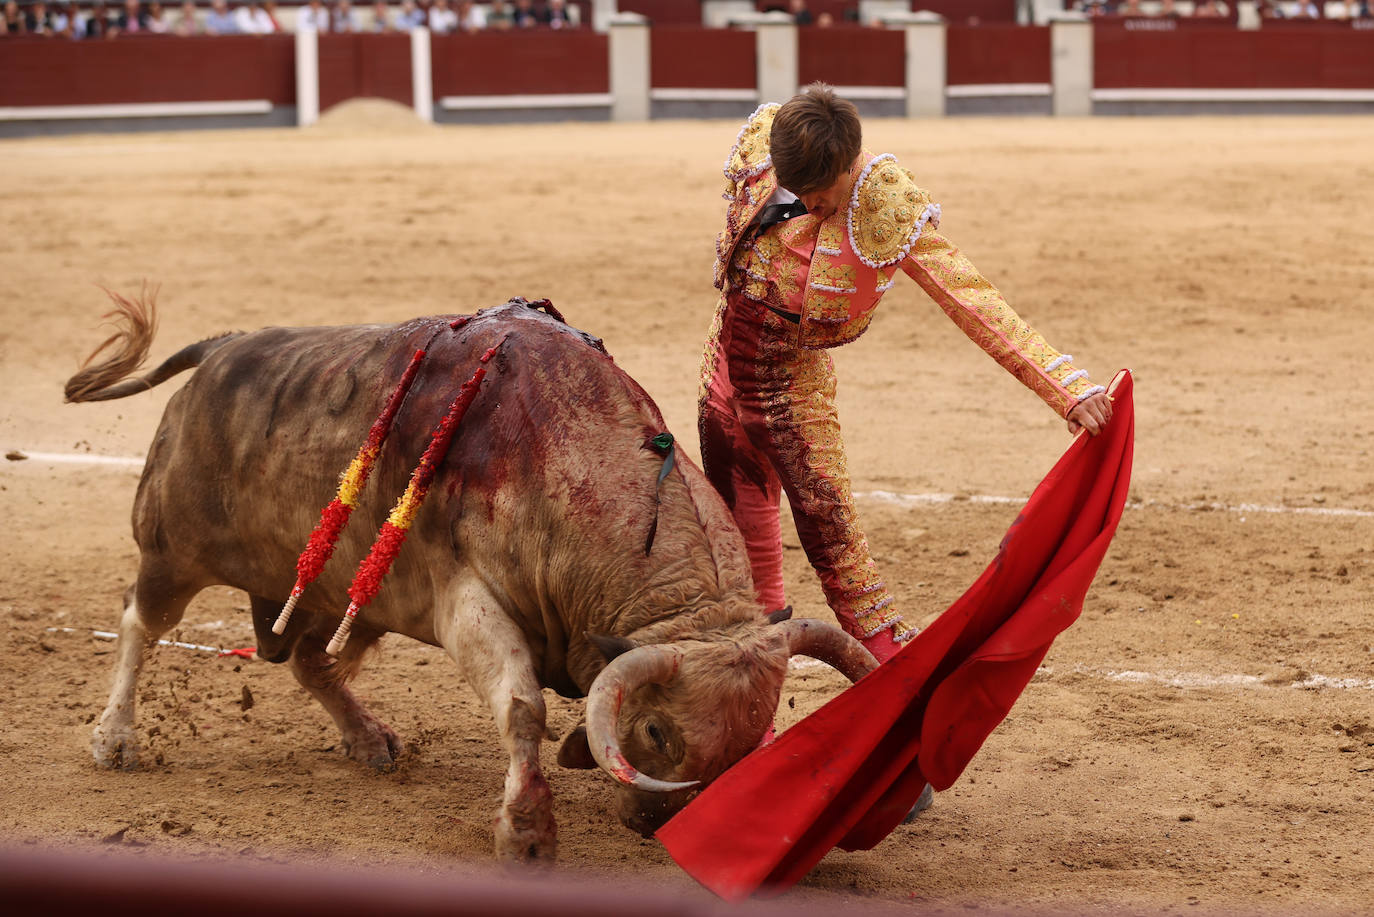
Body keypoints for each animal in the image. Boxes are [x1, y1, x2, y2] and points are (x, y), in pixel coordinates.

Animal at [69, 294, 873, 863]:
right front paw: (527, 835)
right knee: (141, 621)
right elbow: (521, 707)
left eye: (751, 735)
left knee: (307, 658)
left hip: (333, 589)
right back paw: (114, 740)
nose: (661, 826)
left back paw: (369, 739)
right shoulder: (467, 603)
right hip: (172, 549)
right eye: (654, 730)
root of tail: (222, 346)